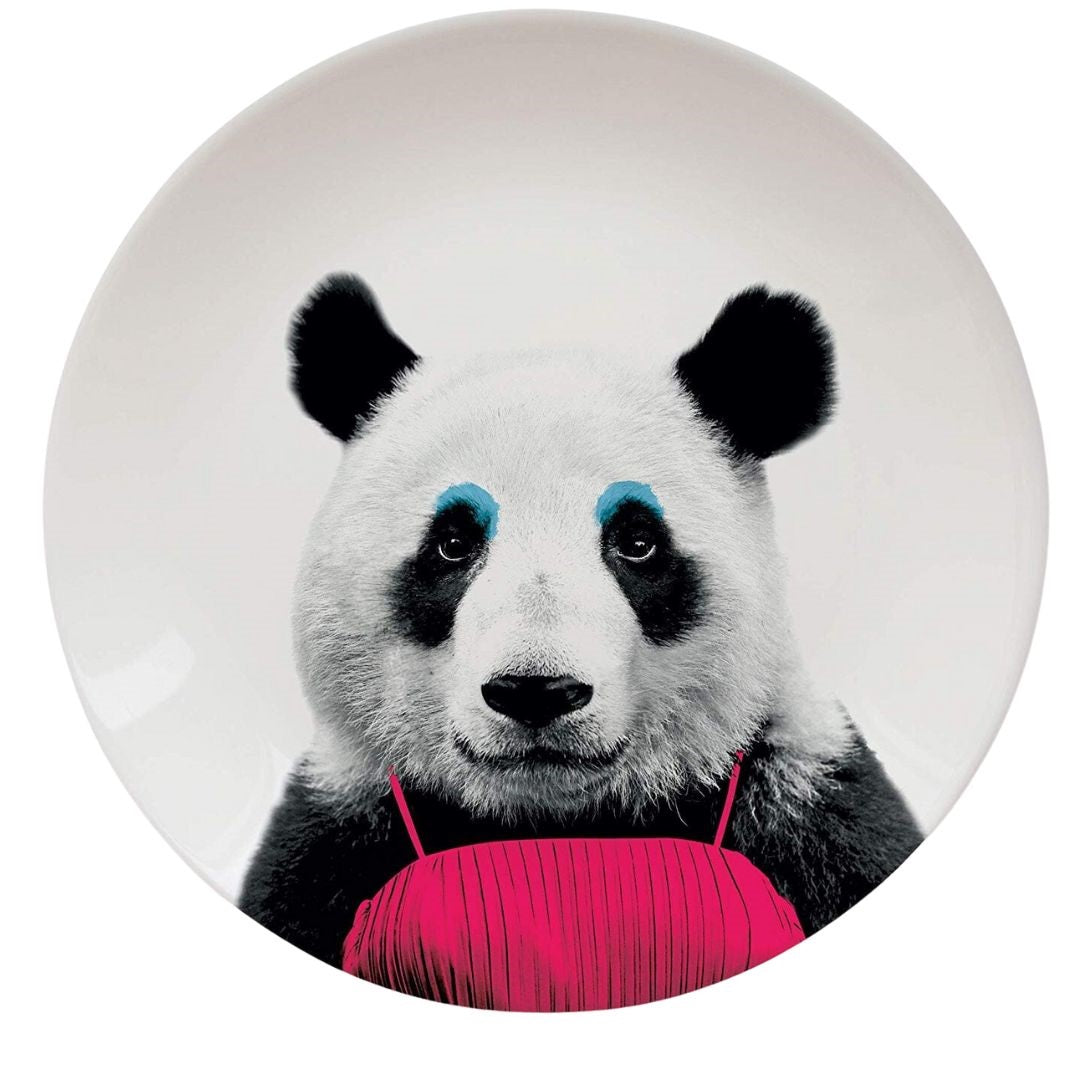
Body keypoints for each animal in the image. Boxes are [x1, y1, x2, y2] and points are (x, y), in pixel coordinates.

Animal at [239, 273, 922, 974]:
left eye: (638, 541)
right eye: (452, 543)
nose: (536, 691)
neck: (565, 819)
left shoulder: (802, 808)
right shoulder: (340, 837)